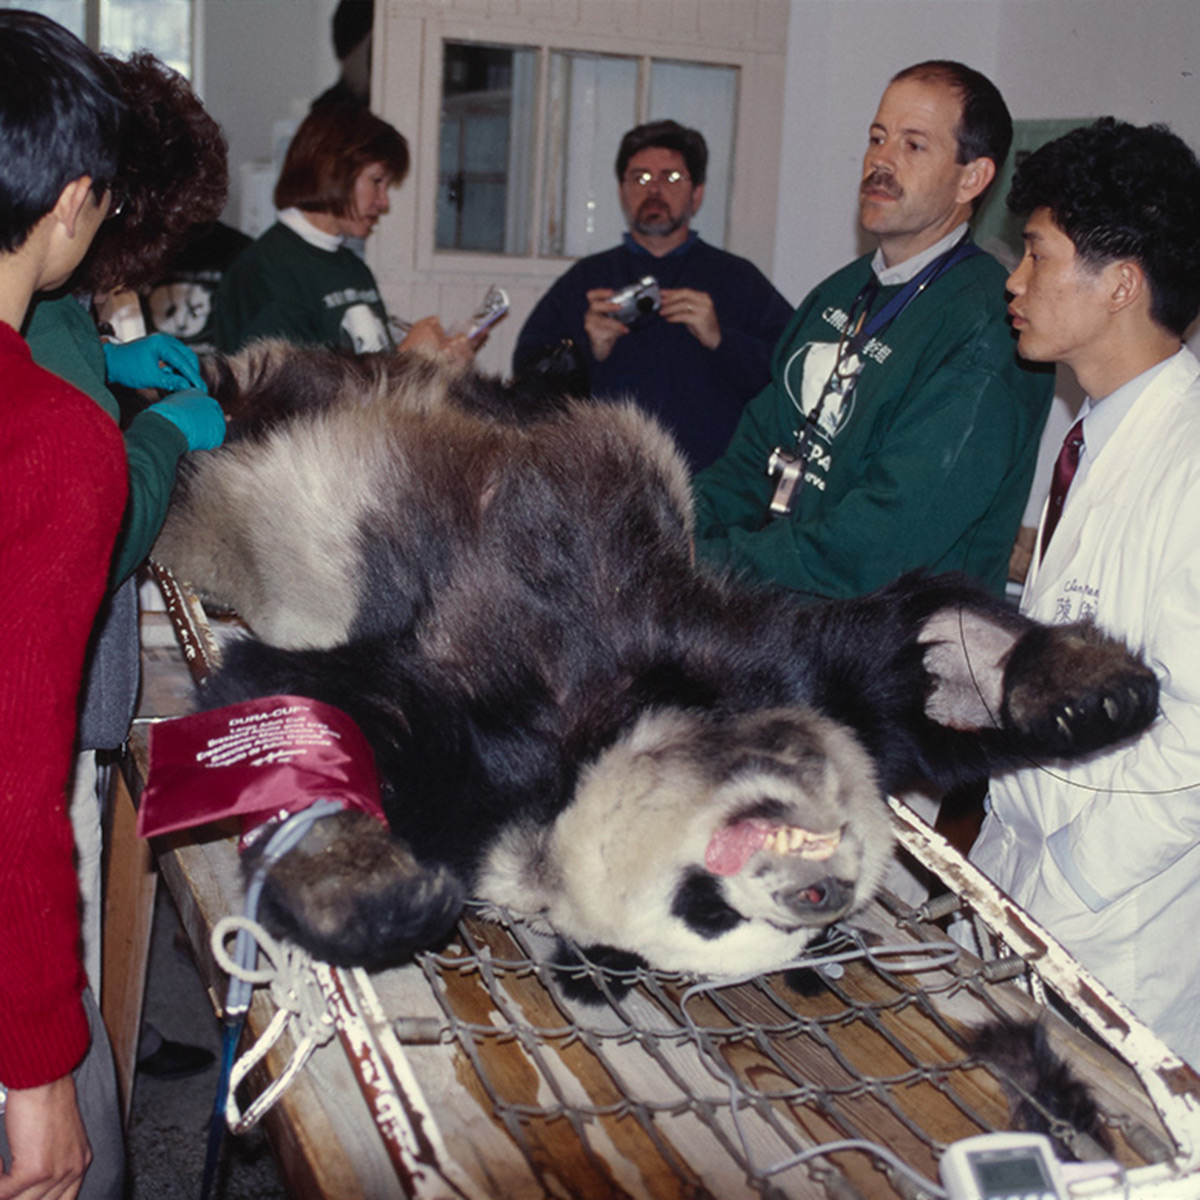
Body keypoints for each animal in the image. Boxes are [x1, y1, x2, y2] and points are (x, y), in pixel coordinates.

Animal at [153, 340, 1160, 980]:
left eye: (819, 920)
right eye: (707, 908)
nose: (820, 892)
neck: (623, 713)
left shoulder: (750, 664)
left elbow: (916, 670)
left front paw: (1081, 691)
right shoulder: (494, 734)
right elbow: (307, 711)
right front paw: (375, 894)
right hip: (264, 454)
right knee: (257, 400)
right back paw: (186, 383)